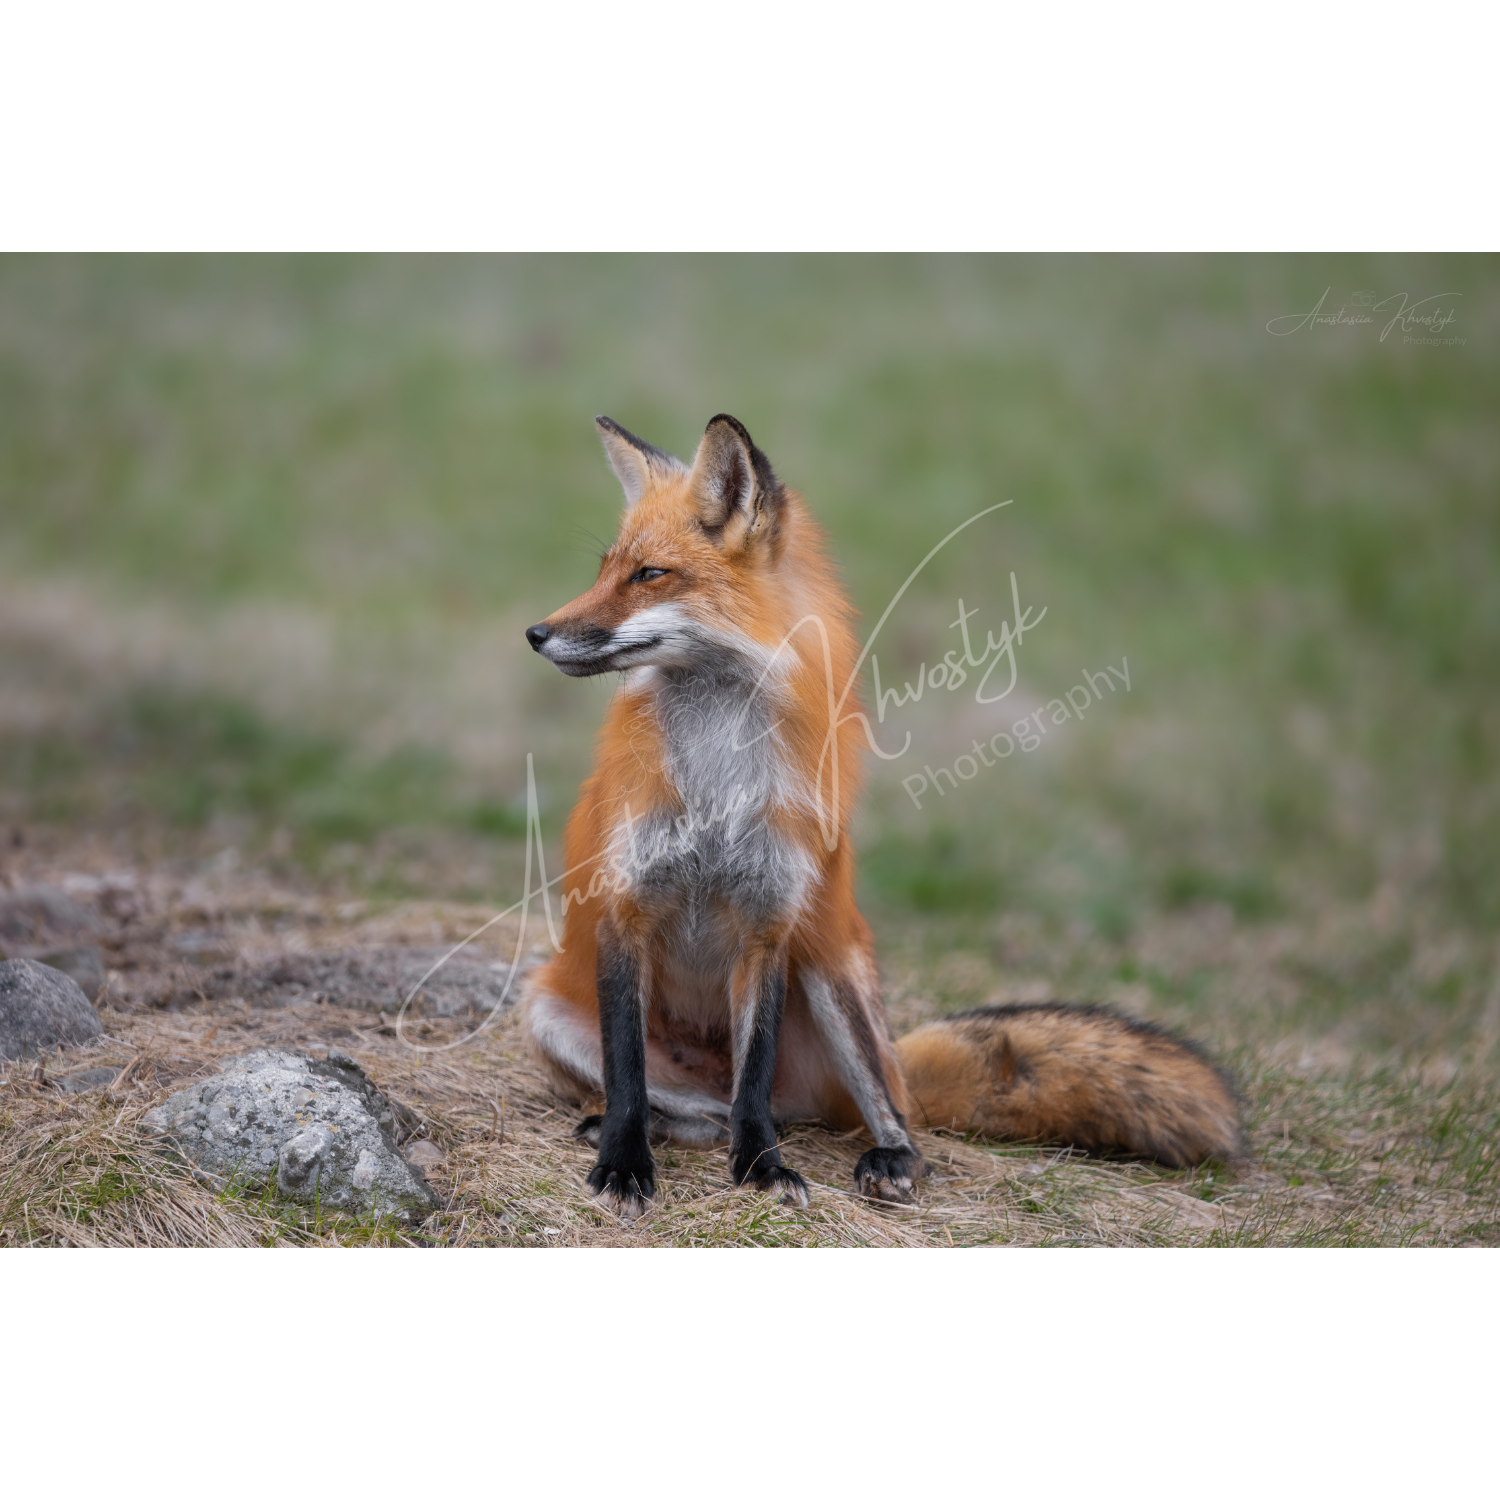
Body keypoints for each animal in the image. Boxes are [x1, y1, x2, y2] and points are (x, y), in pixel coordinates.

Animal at [521, 413, 1244, 1218]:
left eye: (648, 575)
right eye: (604, 570)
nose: (536, 633)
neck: (718, 787)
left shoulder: (772, 928)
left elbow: (753, 1081)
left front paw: (763, 1168)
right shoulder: (625, 910)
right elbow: (626, 1076)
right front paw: (624, 1162)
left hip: (830, 973)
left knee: (869, 1112)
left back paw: (885, 1155)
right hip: (549, 1011)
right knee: (689, 1106)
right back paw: (645, 1126)